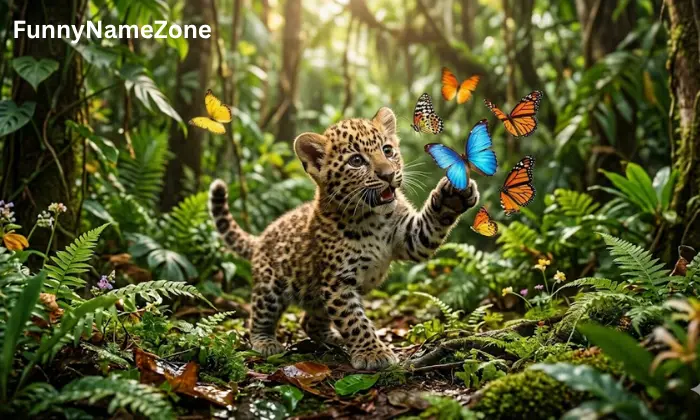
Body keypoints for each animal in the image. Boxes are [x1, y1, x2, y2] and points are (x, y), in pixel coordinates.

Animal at [209, 107, 479, 370]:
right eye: (356, 161)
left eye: (387, 150)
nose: (388, 174)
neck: (373, 218)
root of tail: (261, 237)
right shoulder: (338, 281)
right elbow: (354, 321)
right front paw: (373, 353)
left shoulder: (410, 238)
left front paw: (453, 196)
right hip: (271, 285)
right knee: (259, 314)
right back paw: (265, 341)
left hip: (315, 294)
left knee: (309, 321)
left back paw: (332, 337)